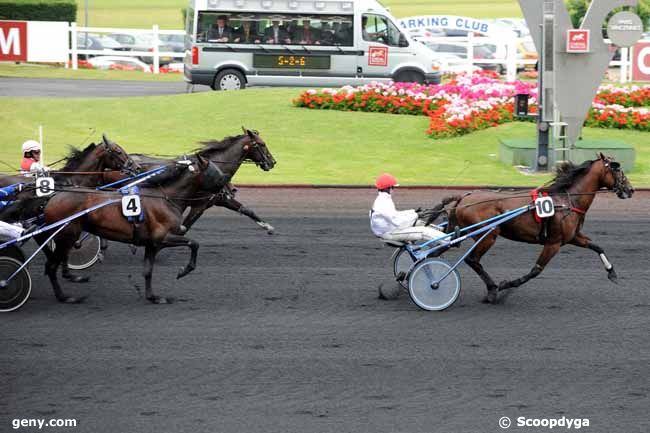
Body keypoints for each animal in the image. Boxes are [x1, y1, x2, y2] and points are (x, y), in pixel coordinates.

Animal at [39, 155, 225, 304]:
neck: (167, 198)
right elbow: (194, 243)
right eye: (218, 173)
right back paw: (64, 296)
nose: (228, 191)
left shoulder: (152, 245)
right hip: (66, 237)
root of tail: (53, 197)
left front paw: (153, 297)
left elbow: (148, 271)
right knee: (51, 266)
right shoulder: (163, 238)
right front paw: (183, 271)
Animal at [438, 154, 632, 304]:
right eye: (617, 169)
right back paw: (492, 290)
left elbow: (597, 246)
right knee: (472, 260)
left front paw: (612, 272)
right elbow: (536, 270)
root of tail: (463, 198)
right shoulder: (553, 243)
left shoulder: (572, 237)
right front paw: (506, 285)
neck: (567, 200)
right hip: (488, 235)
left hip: (464, 232)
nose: (630, 189)